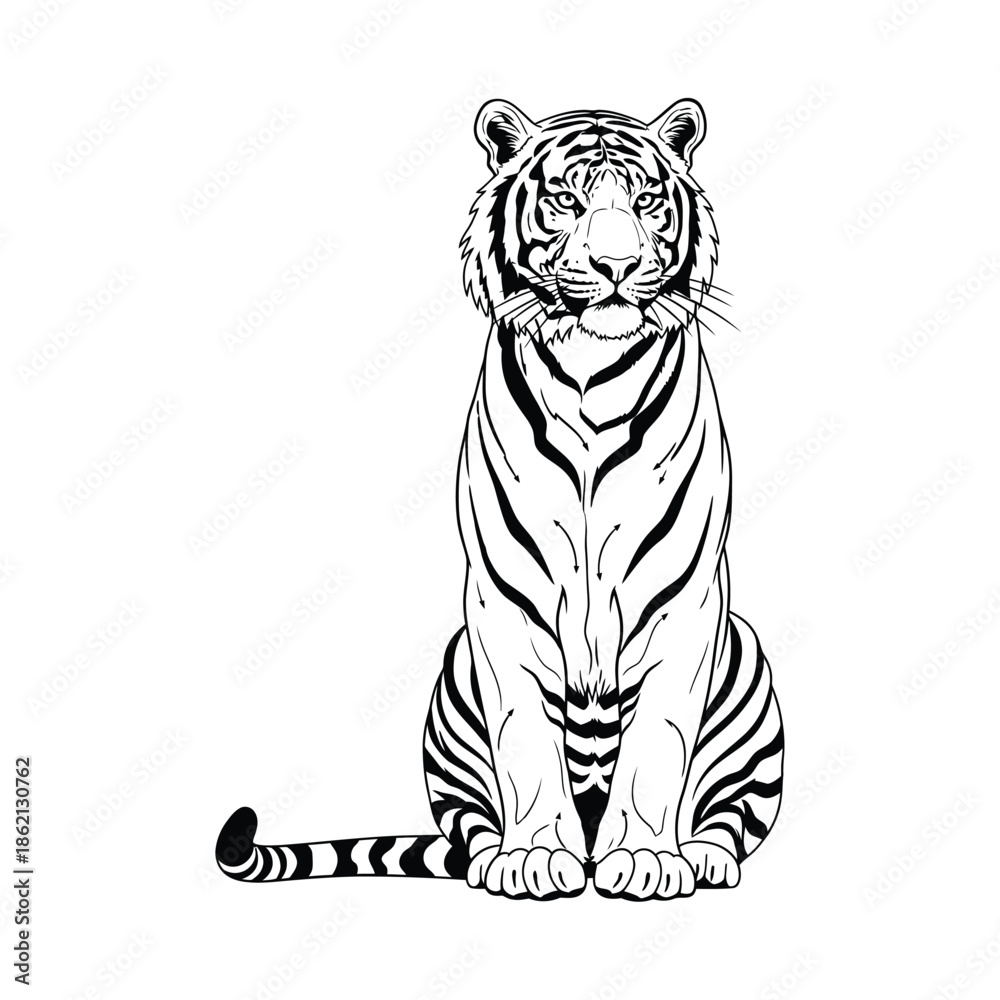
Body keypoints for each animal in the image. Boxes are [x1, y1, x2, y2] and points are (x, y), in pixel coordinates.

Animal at [216, 97, 784, 901]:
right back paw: (503, 856)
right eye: (566, 200)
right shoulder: (503, 601)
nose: (617, 267)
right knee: (471, 819)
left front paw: (646, 858)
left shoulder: (685, 599)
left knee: (730, 816)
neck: (592, 378)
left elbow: (659, 744)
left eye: (646, 202)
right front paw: (535, 856)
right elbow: (522, 739)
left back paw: (699, 855)